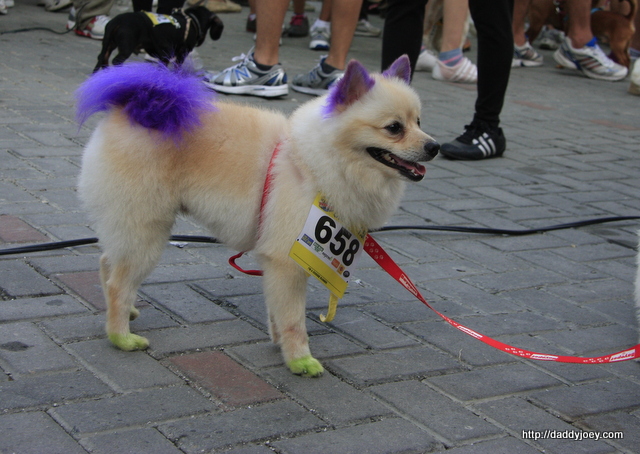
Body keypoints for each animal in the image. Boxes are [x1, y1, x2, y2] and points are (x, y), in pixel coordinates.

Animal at [75, 56, 440, 377]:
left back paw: (126, 312)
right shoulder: (288, 262)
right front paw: (299, 360)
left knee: (107, 265)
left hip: (133, 227)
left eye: (420, 122)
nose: (435, 147)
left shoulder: (277, 262)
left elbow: (276, 313)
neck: (314, 161)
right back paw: (120, 335)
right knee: (118, 282)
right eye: (394, 128)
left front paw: (280, 345)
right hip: (147, 230)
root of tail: (137, 106)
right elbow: (293, 319)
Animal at [94, 6, 223, 72]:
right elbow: (176, 68)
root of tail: (117, 21)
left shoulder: (164, 55)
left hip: (109, 44)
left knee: (103, 57)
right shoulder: (180, 54)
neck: (192, 20)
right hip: (126, 47)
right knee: (116, 60)